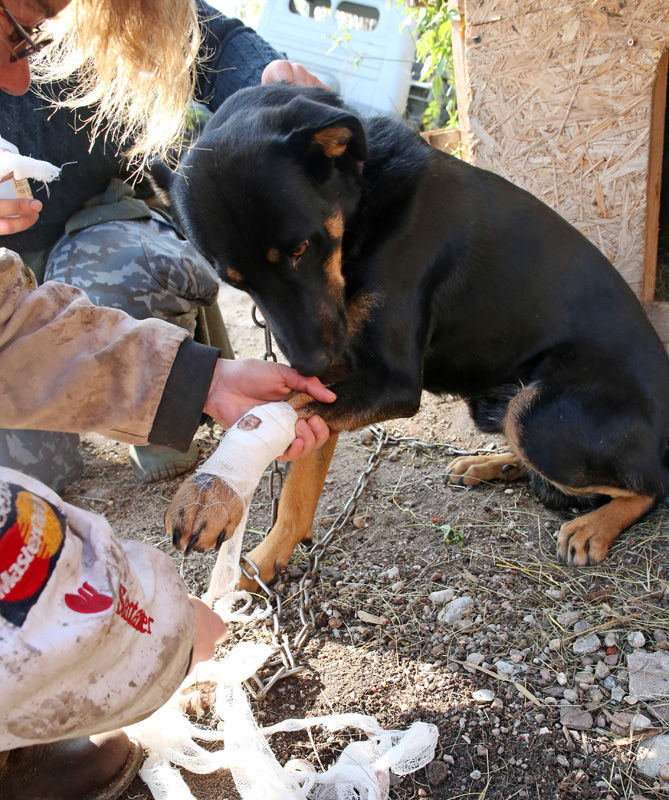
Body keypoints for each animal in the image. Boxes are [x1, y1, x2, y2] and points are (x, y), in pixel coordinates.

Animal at [164, 84, 668, 588]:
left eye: (300, 248)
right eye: (234, 280)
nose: (314, 364)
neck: (365, 205)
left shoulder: (390, 381)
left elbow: (284, 409)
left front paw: (208, 495)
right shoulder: (342, 373)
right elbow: (298, 485)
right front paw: (262, 561)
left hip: (537, 415)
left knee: (651, 485)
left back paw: (593, 526)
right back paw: (490, 463)